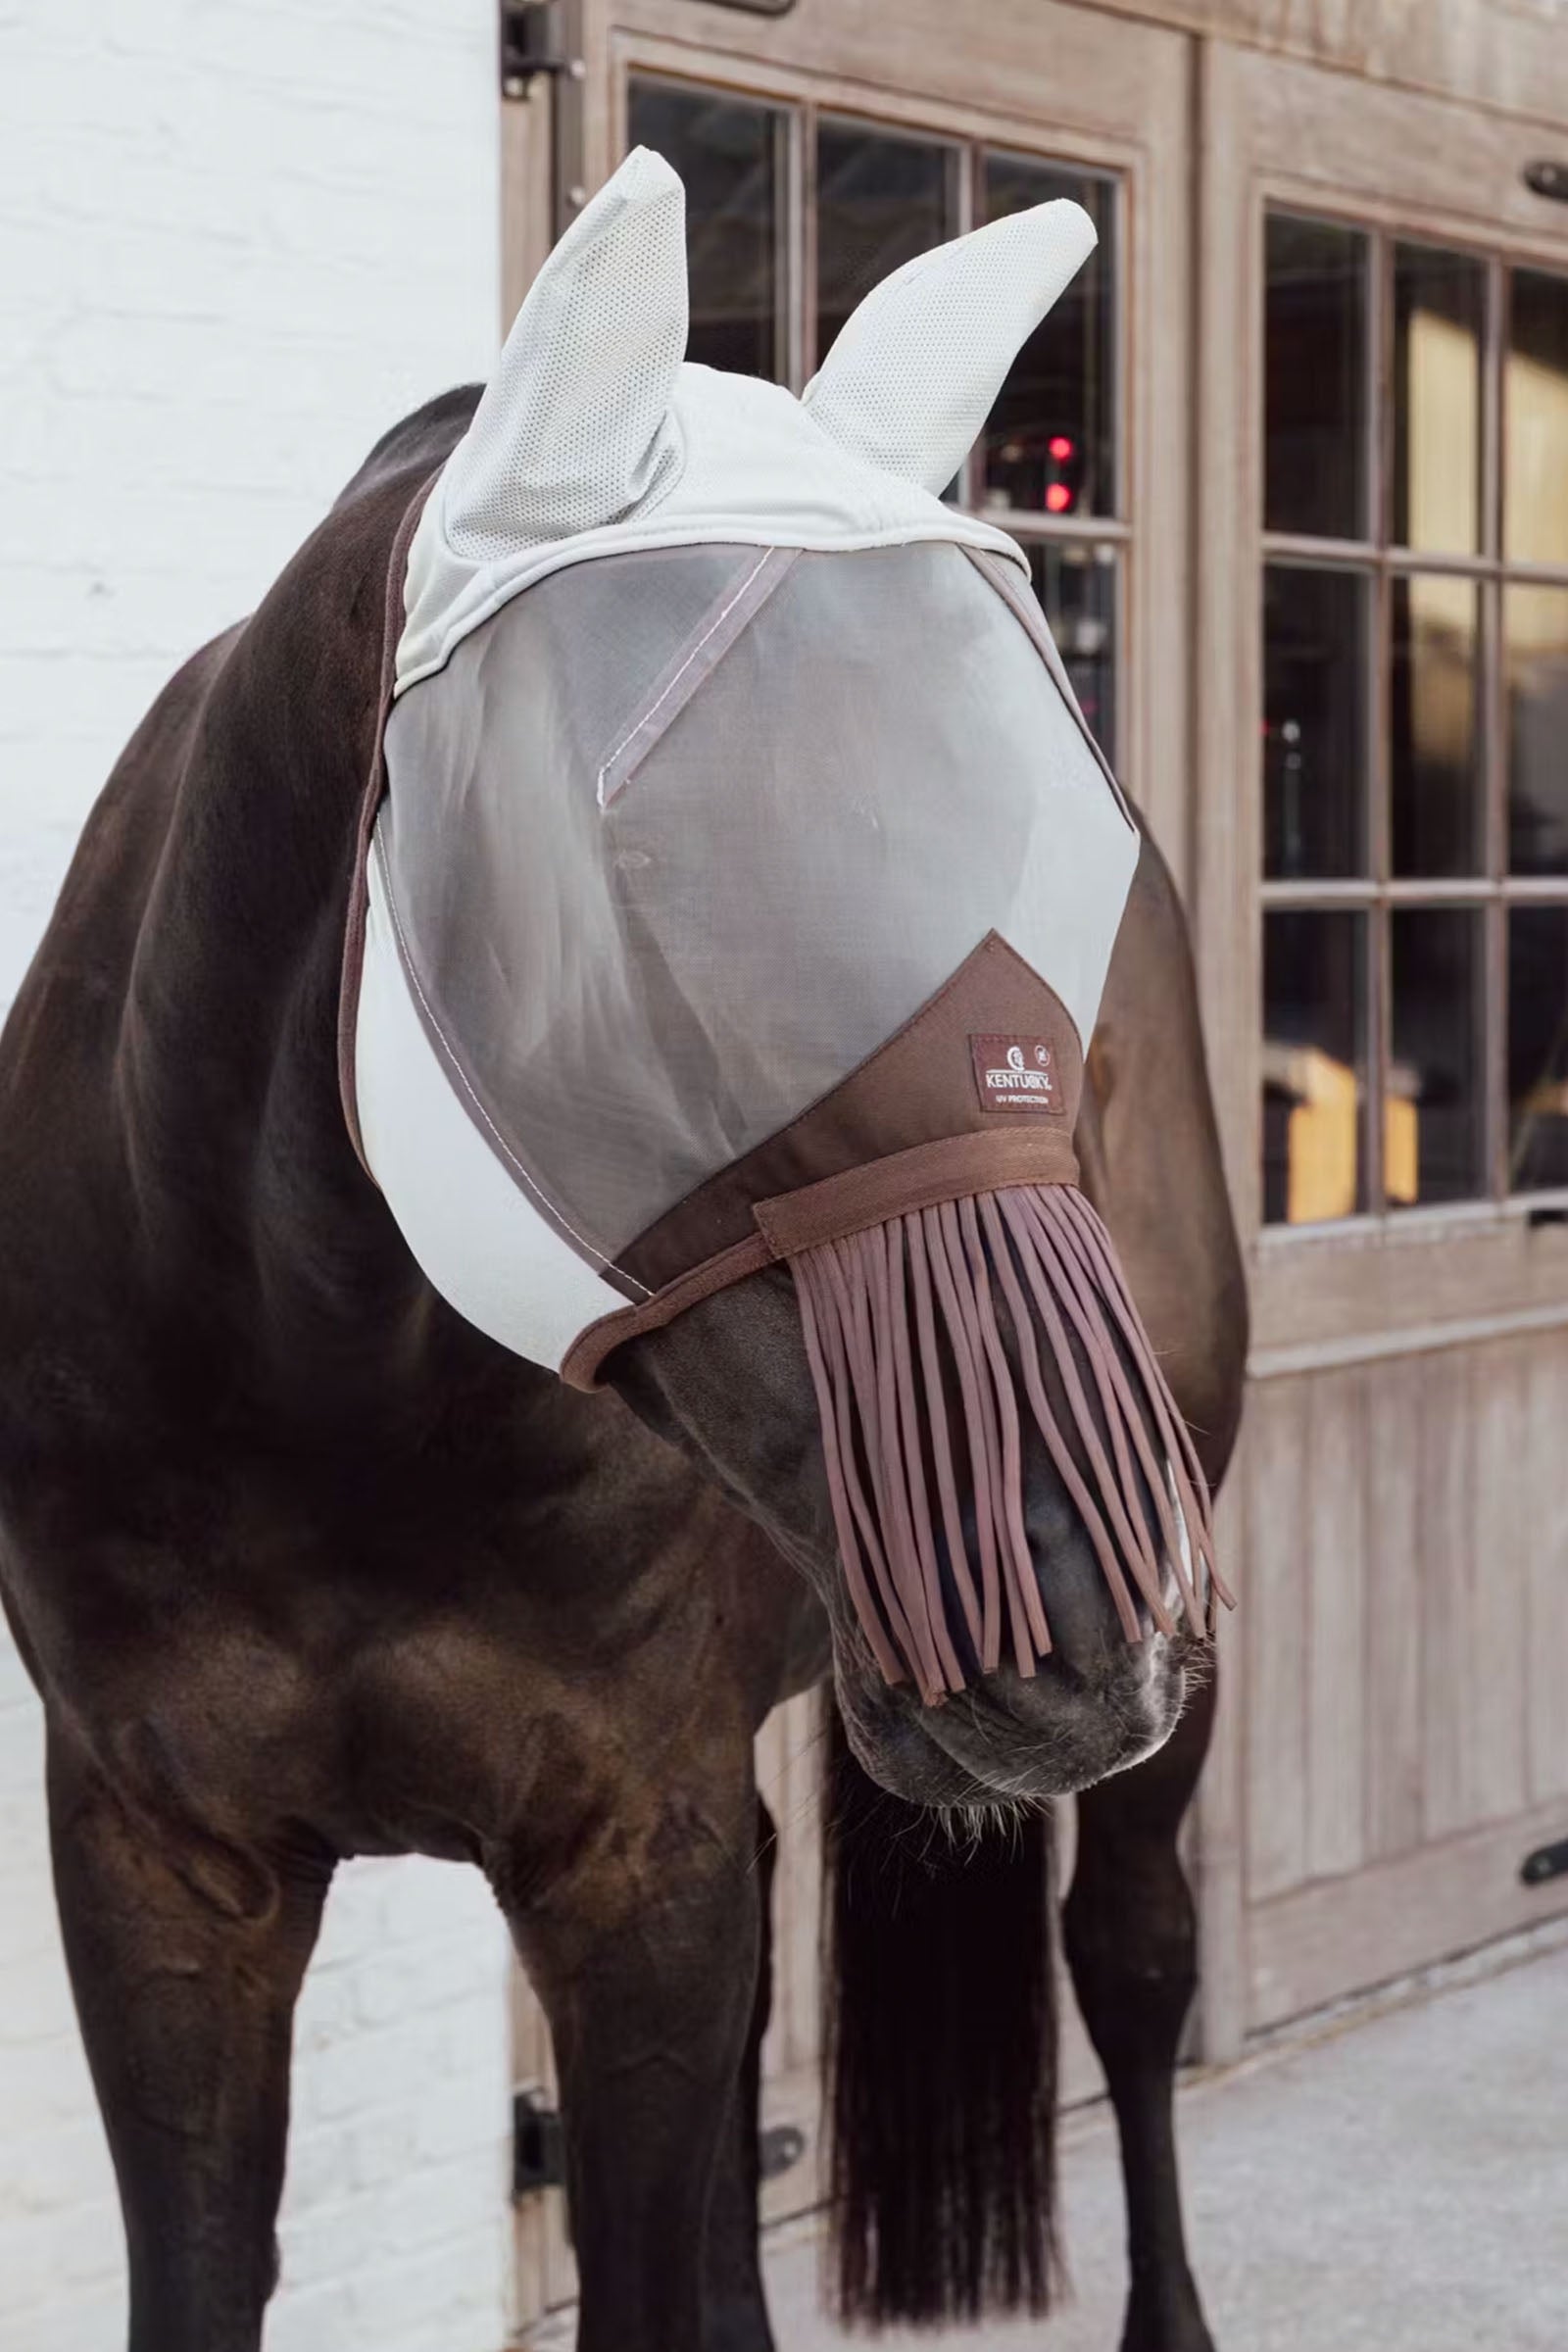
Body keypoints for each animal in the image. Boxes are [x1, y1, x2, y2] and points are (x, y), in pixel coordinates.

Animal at [0, 166, 1246, 2352]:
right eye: (636, 911)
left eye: (1073, 867)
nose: (1084, 1619)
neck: (316, 1372)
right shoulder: (158, 1862)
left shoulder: (626, 1859)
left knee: (1135, 1958)